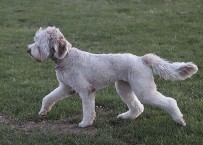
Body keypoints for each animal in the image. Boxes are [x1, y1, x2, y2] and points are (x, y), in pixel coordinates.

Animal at [27, 26, 198, 127]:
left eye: (39, 43)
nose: (28, 50)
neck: (67, 58)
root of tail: (142, 59)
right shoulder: (66, 88)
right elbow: (48, 98)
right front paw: (43, 112)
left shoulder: (86, 90)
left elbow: (88, 109)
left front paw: (85, 123)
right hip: (123, 87)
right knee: (137, 107)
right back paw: (125, 117)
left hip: (144, 90)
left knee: (169, 102)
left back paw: (179, 120)